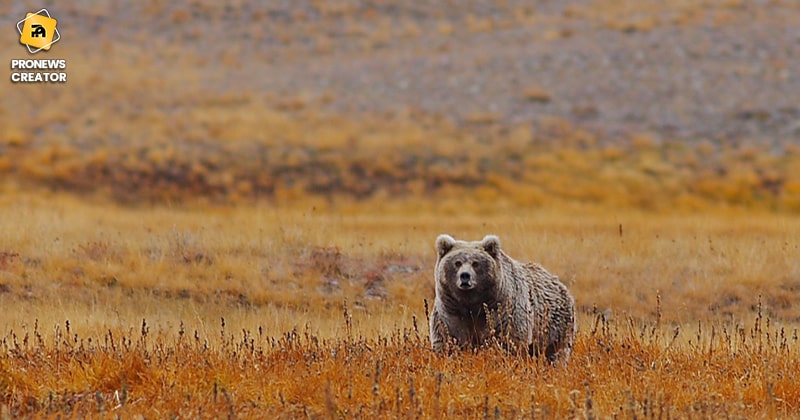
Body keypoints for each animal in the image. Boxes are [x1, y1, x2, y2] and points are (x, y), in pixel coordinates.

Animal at [432, 233, 576, 360]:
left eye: (475, 263)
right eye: (457, 263)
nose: (465, 276)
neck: (472, 304)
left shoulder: (502, 310)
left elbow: (509, 341)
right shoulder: (450, 312)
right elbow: (446, 339)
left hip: (556, 327)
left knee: (557, 353)